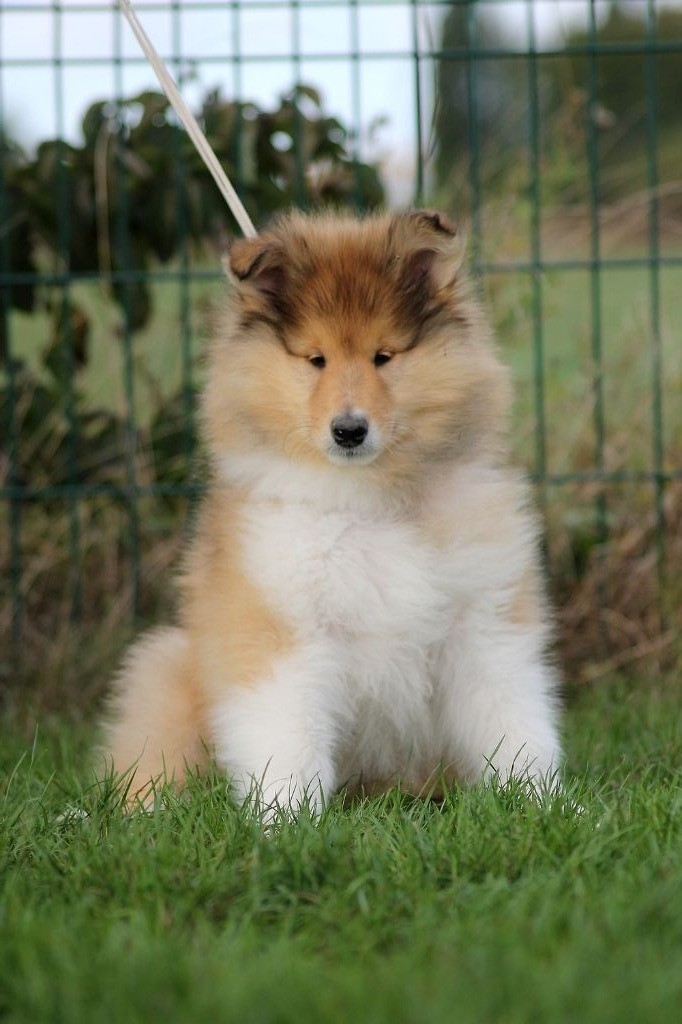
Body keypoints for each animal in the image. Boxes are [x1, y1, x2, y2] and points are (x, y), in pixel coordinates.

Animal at [100, 209, 557, 815]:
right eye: (315, 359)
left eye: (383, 356)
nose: (349, 430)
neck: (368, 499)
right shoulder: (279, 634)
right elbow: (288, 738)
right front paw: (288, 820)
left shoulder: (483, 623)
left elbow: (514, 722)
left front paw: (547, 805)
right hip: (168, 667)